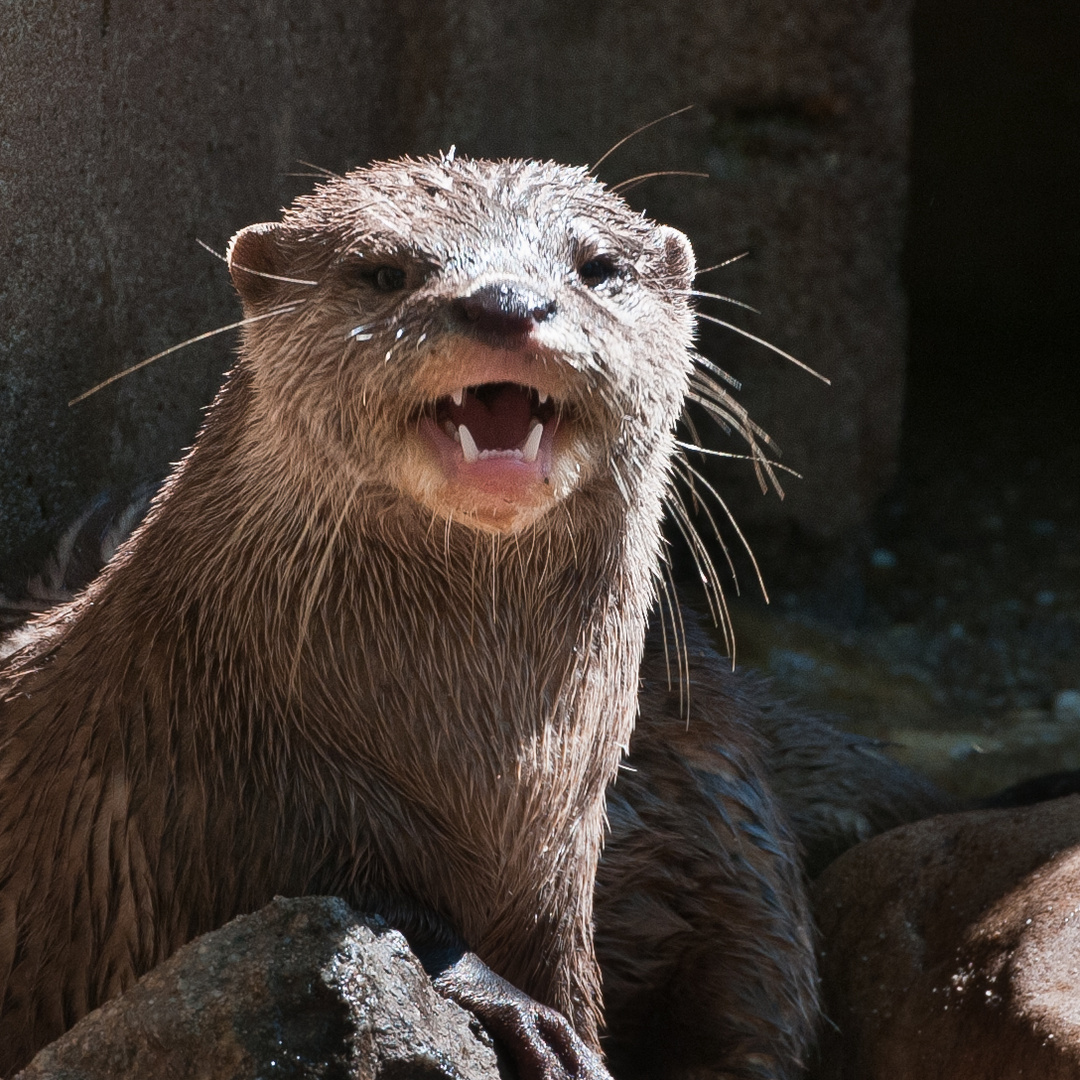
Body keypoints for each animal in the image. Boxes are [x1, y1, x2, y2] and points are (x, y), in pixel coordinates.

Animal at [0, 156, 812, 1075]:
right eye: (385, 271)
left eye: (599, 267)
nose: (506, 302)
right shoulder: (222, 824)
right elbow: (381, 910)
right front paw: (524, 1013)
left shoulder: (571, 875)